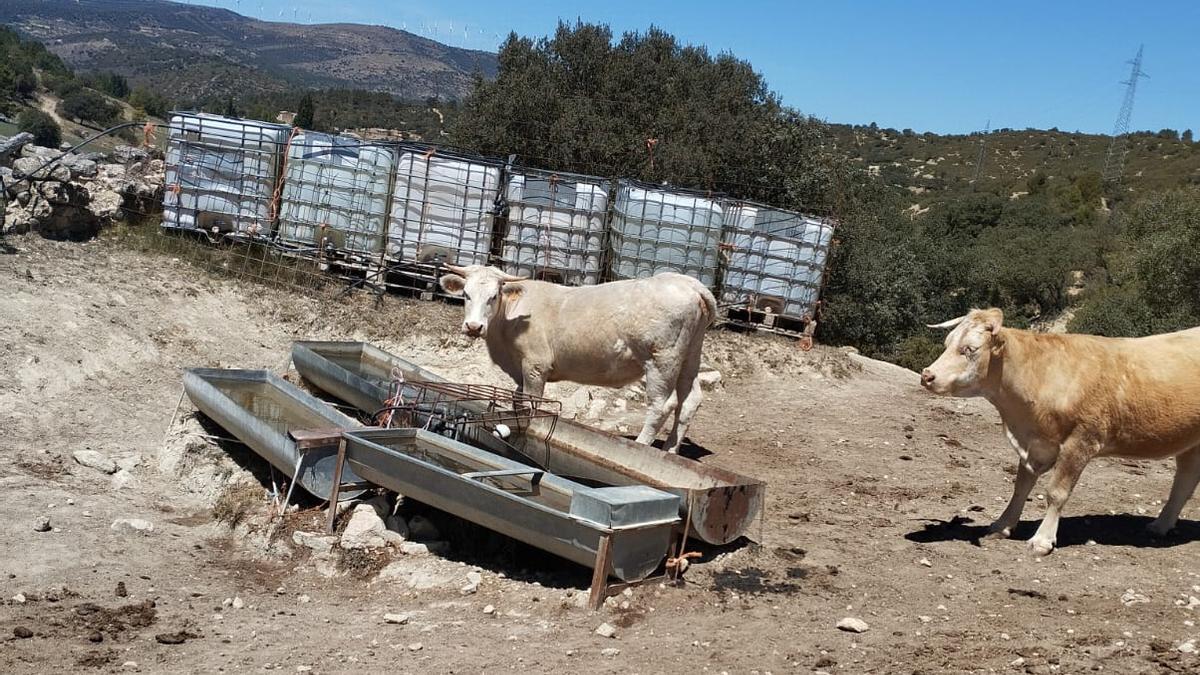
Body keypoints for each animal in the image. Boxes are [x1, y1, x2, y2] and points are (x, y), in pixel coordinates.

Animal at [444, 263, 715, 451]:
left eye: (494, 296)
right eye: (466, 294)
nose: (473, 327)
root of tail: (689, 284)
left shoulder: (535, 365)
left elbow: (532, 403)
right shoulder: (520, 369)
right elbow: (517, 401)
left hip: (661, 360)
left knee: (662, 404)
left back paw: (641, 444)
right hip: (689, 355)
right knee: (690, 401)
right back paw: (670, 449)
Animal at [921, 307, 1200, 554]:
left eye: (970, 349)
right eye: (947, 343)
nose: (927, 375)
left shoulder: (1081, 441)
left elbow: (1056, 492)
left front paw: (1042, 540)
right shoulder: (1036, 443)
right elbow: (1021, 487)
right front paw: (1002, 525)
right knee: (1184, 483)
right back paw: (1159, 526)